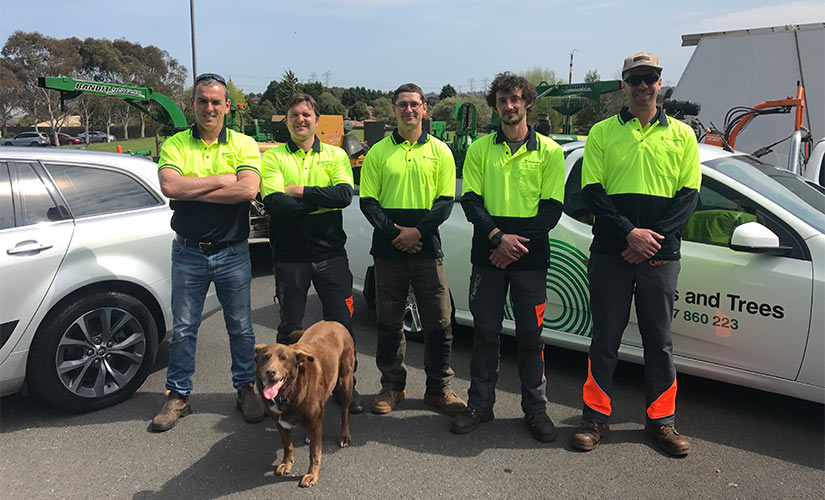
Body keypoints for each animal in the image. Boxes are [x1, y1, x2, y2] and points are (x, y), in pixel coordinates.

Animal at [253, 320, 352, 488]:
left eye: (284, 358)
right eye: (265, 357)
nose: (270, 372)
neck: (287, 393)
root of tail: (332, 321)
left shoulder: (314, 422)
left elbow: (314, 453)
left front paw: (312, 475)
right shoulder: (280, 424)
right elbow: (288, 446)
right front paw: (287, 464)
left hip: (345, 381)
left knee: (344, 412)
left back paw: (344, 436)